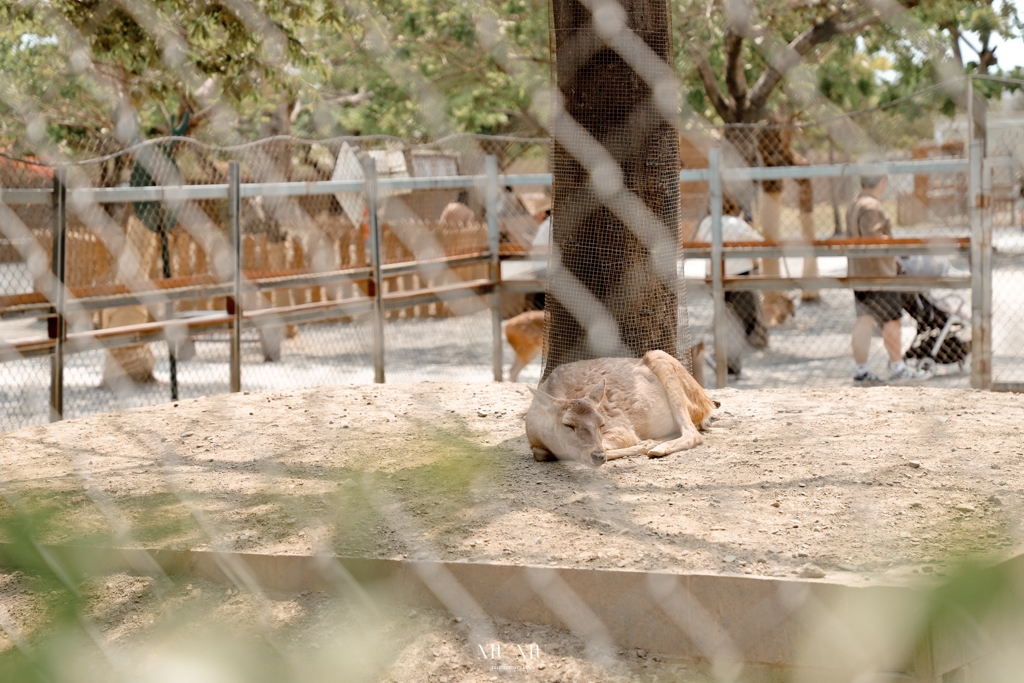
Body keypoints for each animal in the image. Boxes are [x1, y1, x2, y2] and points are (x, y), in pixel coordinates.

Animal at [524, 350, 716, 466]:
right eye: (568, 424)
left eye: (601, 423)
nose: (598, 456)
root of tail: (706, 404)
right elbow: (541, 454)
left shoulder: (622, 427)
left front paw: (645, 444)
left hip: (662, 359)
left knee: (693, 433)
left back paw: (656, 448)